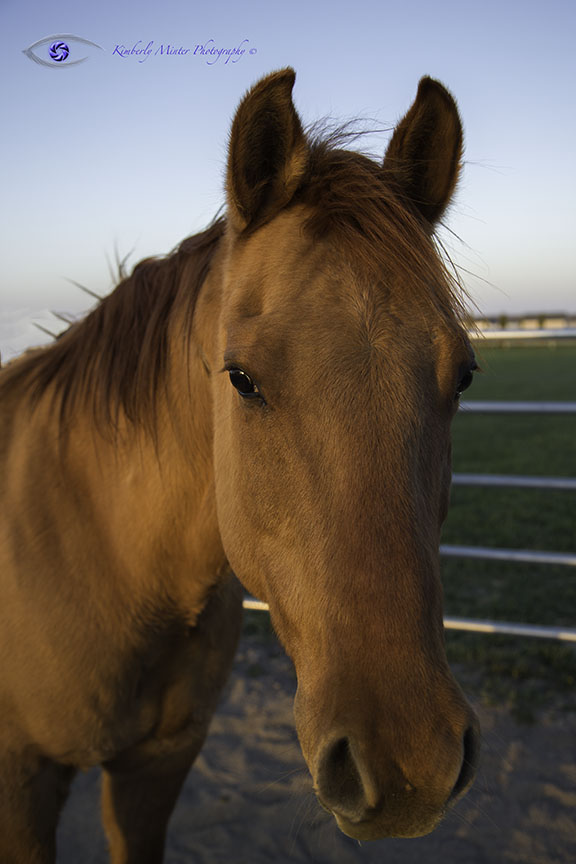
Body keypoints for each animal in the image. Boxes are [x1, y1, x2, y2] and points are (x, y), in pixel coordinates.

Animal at [0, 68, 480, 862]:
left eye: (465, 375)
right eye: (242, 379)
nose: (412, 763)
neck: (94, 551)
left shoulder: (157, 765)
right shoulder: (23, 781)